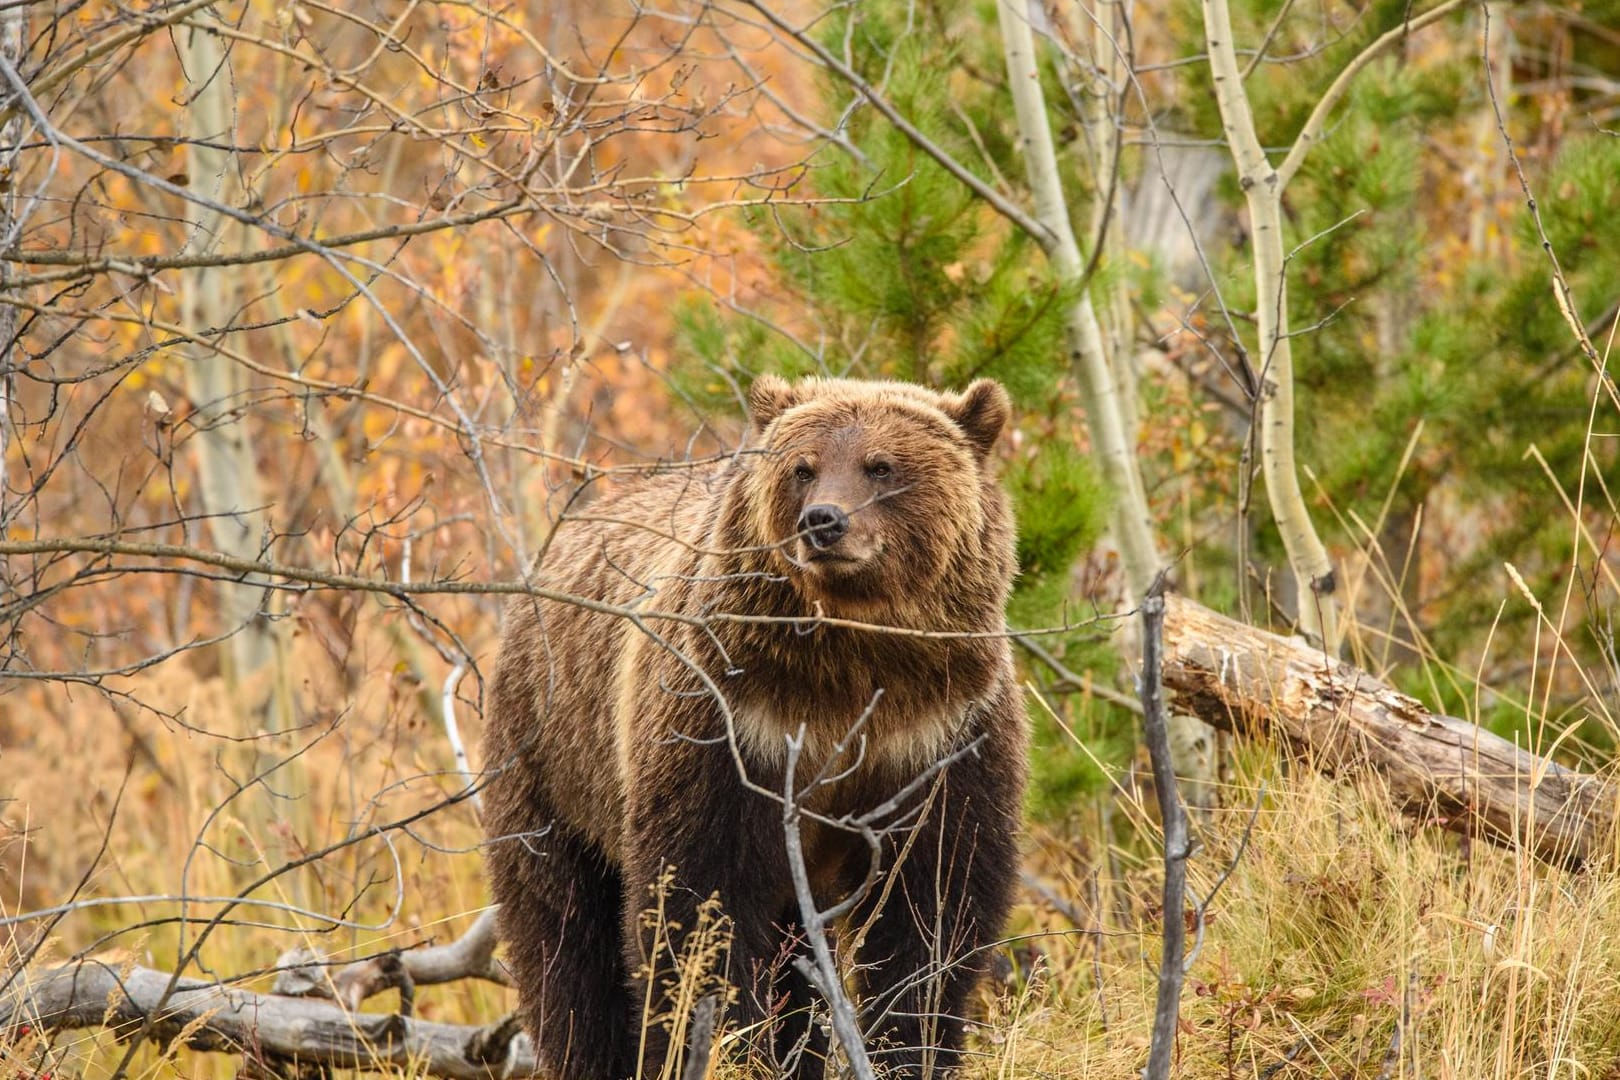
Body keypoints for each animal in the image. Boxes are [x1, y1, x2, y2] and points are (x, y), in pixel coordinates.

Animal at [479, 374, 1023, 1080]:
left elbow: (932, 906)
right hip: (555, 767)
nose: (824, 521)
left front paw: (910, 1047)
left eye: (881, 466)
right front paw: (724, 1044)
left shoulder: (941, 735)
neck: (851, 665)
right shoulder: (733, 725)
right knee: (566, 942)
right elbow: (702, 900)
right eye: (802, 467)